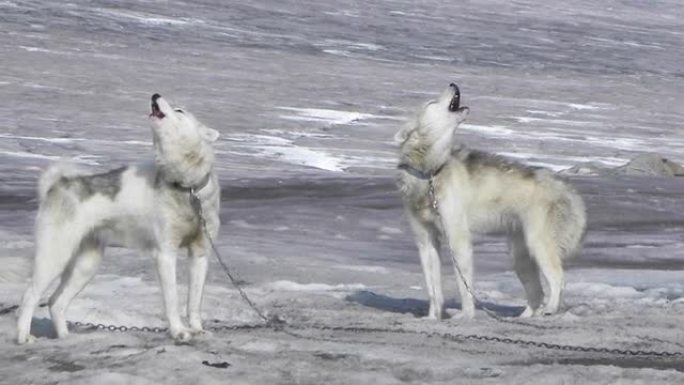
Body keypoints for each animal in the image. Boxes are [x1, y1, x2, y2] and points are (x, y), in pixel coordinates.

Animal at [16, 94, 219, 342]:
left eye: (180, 110)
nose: (155, 95)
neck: (186, 188)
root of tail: (57, 185)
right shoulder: (165, 254)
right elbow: (172, 300)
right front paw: (179, 331)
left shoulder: (200, 254)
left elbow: (194, 302)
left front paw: (197, 329)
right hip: (54, 257)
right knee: (29, 296)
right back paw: (23, 337)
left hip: (86, 265)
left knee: (56, 303)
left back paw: (65, 337)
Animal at [396, 83, 588, 318]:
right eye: (431, 102)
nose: (453, 84)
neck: (431, 173)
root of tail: (567, 188)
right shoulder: (425, 241)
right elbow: (433, 289)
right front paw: (432, 318)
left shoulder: (458, 239)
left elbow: (464, 286)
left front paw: (466, 315)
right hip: (520, 256)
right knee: (537, 293)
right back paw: (524, 317)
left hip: (538, 244)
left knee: (557, 279)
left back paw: (550, 310)